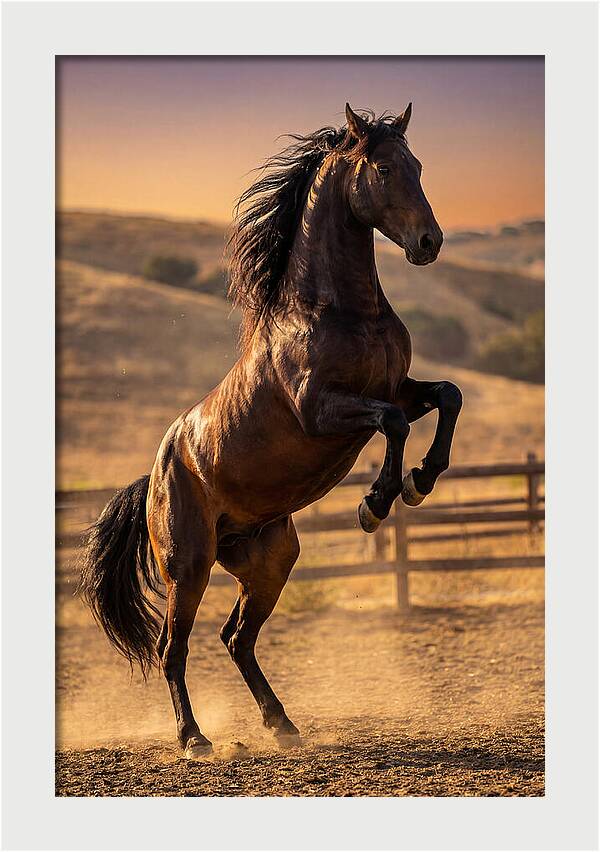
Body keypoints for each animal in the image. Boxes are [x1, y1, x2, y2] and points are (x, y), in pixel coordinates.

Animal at [79, 103, 462, 758]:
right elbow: (390, 425)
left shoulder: (398, 389)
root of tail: (154, 476)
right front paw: (375, 503)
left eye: (417, 165)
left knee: (237, 638)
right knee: (173, 649)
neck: (337, 310)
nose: (428, 243)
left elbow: (447, 397)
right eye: (384, 168)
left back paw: (282, 724)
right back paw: (194, 739)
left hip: (269, 558)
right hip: (190, 566)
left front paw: (421, 480)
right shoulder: (323, 410)